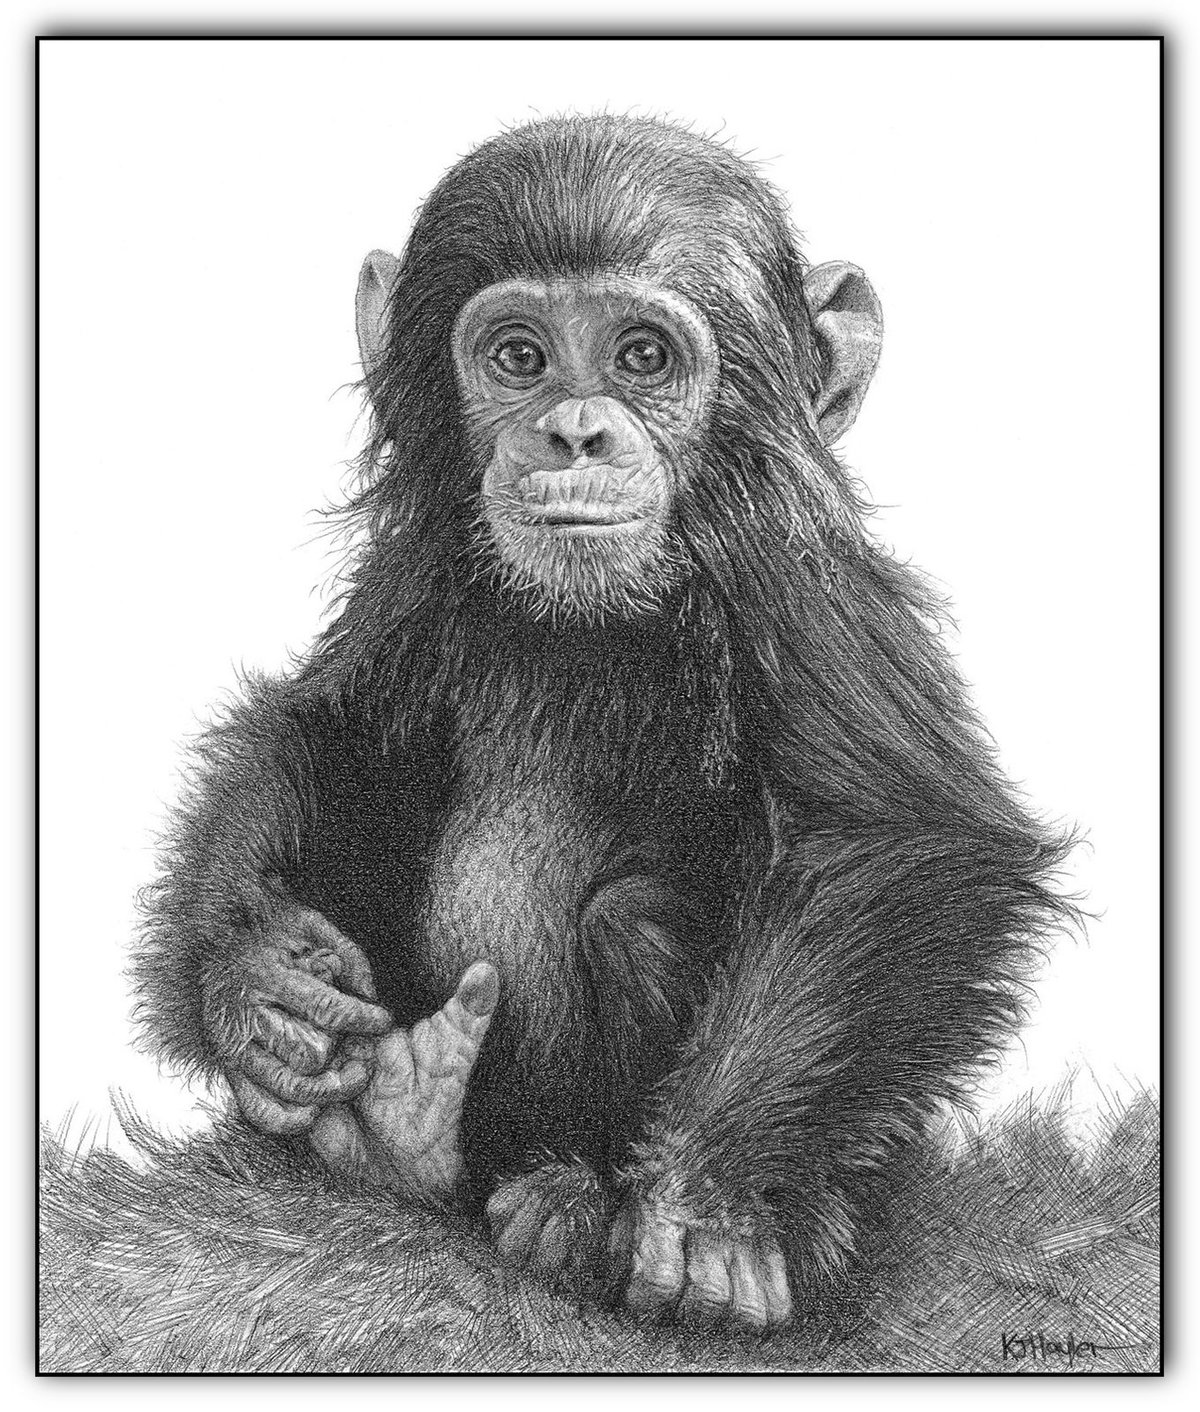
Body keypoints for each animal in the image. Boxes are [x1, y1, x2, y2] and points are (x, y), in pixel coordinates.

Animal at [134, 114, 1070, 1330]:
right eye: (519, 357)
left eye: (642, 358)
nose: (573, 433)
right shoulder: (416, 561)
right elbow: (337, 731)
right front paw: (256, 979)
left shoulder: (802, 576)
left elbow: (893, 836)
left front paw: (708, 1204)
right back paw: (407, 1130)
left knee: (632, 918)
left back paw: (613, 1202)